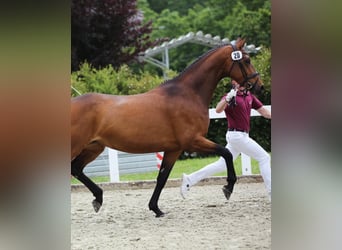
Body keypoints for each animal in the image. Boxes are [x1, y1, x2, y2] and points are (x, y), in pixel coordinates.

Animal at [71, 37, 264, 217]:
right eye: (247, 60)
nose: (259, 86)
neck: (188, 94)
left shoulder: (174, 149)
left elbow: (162, 177)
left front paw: (156, 208)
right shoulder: (192, 141)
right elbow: (226, 153)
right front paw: (228, 187)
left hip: (94, 147)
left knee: (76, 169)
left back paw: (98, 197)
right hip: (77, 146)